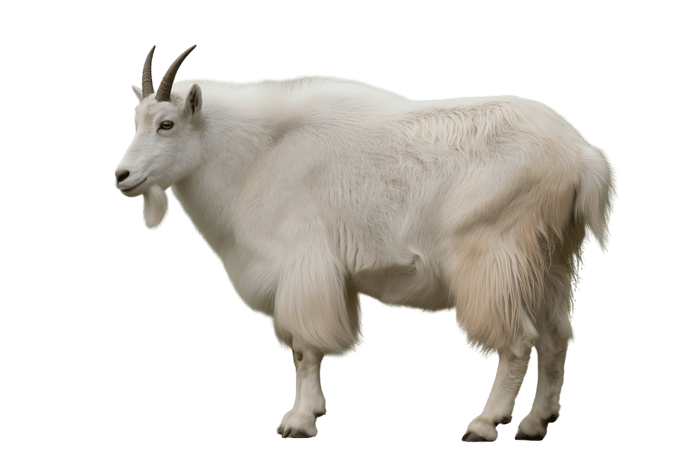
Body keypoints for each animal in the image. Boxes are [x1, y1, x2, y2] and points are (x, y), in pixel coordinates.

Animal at [114, 44, 617, 442]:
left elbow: (304, 348)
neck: (258, 156)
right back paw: (536, 423)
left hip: (494, 255)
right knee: (557, 336)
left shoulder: (302, 267)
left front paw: (298, 420)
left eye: (167, 124)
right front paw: (313, 410)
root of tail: (581, 155)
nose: (123, 176)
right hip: (552, 257)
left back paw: (486, 423)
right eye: (137, 121)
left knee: (517, 339)